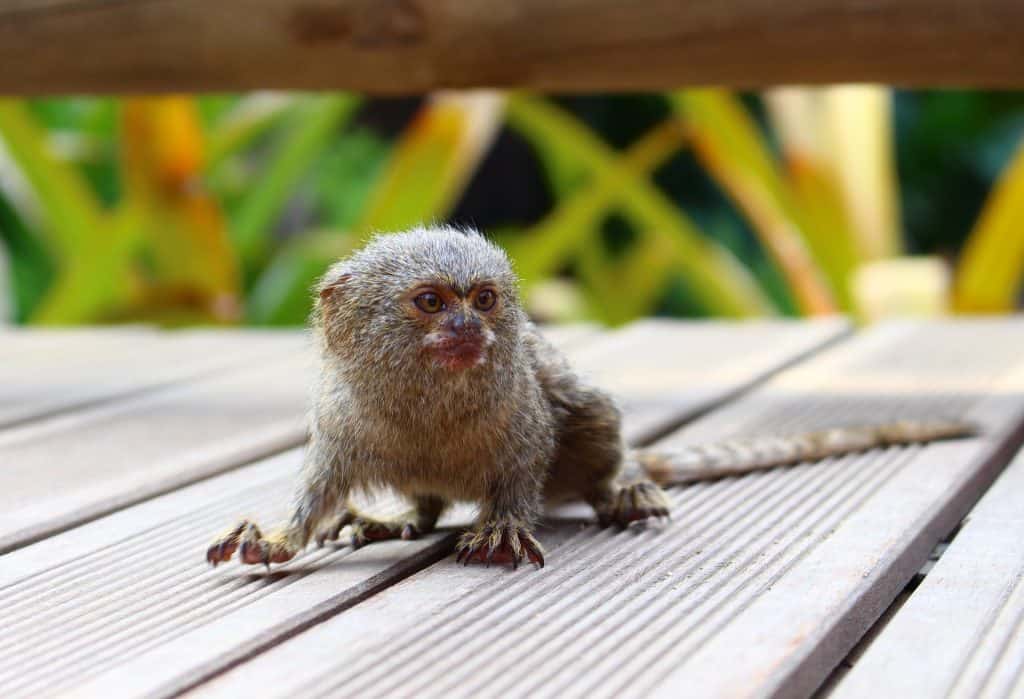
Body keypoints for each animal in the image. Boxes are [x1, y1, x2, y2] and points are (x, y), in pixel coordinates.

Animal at [206, 226, 975, 571]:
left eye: (484, 299)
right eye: (430, 303)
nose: (470, 327)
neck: (428, 406)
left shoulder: (520, 414)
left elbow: (522, 469)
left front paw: (503, 526)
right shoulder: (342, 425)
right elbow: (317, 494)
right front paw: (280, 536)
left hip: (590, 422)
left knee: (595, 423)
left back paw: (621, 489)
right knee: (423, 504)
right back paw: (395, 521)